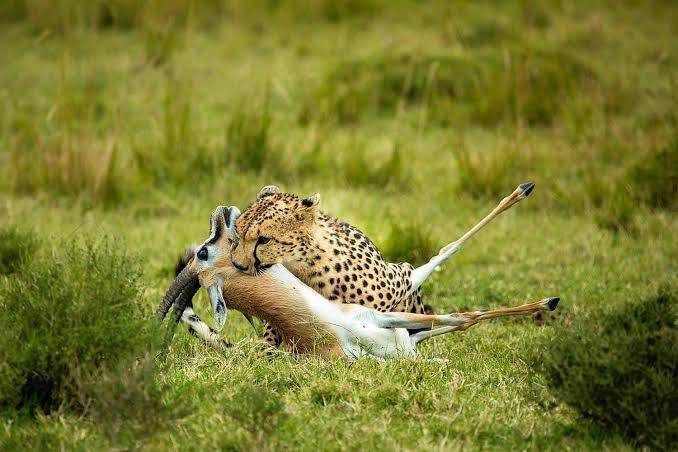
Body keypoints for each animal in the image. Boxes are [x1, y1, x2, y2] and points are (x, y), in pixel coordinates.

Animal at [157, 183, 560, 360]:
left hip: (406, 286)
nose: (221, 212)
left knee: (446, 256)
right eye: (239, 235)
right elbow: (462, 315)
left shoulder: (397, 293)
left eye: (263, 238)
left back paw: (520, 193)